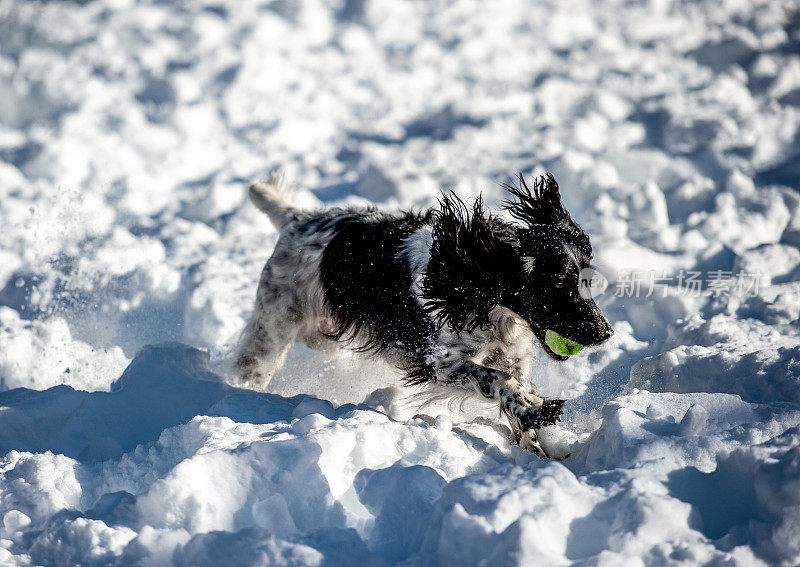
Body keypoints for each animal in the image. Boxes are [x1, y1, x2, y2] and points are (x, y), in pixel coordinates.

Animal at [238, 171, 612, 460]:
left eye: (587, 280)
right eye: (557, 284)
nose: (605, 333)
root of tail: (298, 219)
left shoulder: (511, 357)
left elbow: (518, 390)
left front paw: (537, 445)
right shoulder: (440, 363)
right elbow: (497, 381)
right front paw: (538, 409)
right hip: (274, 327)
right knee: (253, 366)